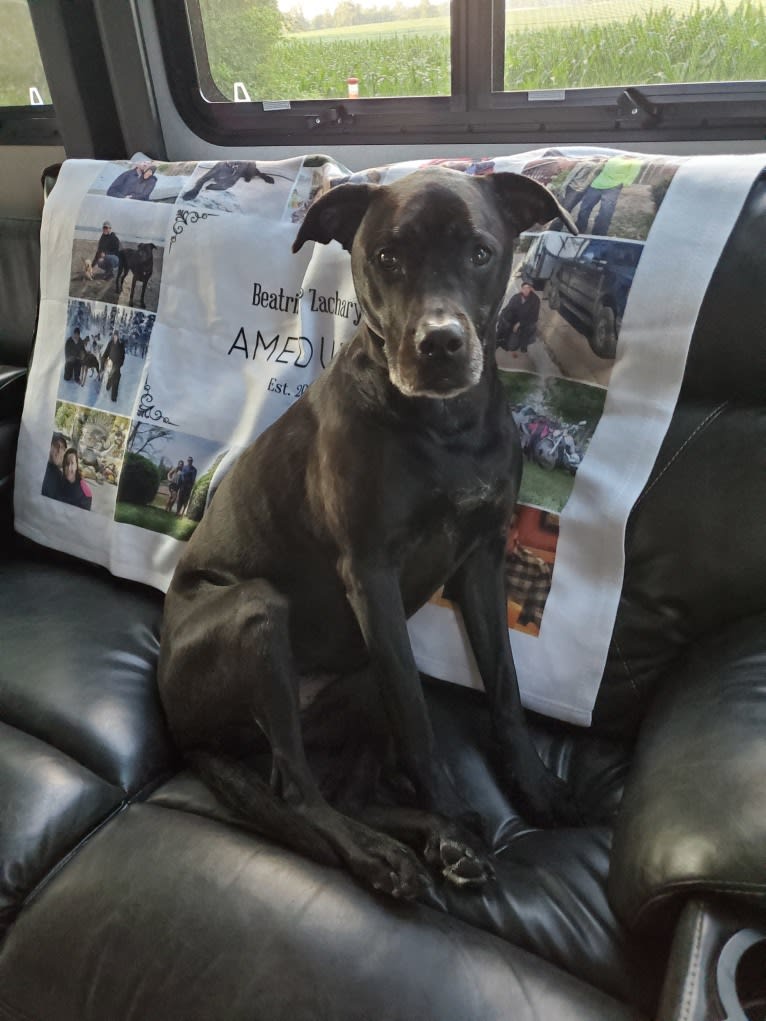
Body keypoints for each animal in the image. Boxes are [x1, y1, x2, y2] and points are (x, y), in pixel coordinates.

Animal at [157, 167, 576, 902]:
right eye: (387, 256)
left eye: (480, 252)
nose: (440, 345)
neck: (446, 427)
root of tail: (186, 736)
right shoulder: (373, 575)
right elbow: (418, 718)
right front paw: (454, 811)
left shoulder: (482, 562)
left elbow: (505, 688)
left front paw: (534, 789)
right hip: (258, 613)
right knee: (299, 792)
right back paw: (388, 852)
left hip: (358, 673)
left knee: (345, 789)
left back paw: (439, 843)